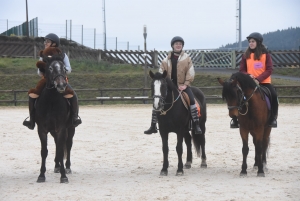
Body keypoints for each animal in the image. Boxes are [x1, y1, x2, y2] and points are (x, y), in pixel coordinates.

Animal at [34, 55, 75, 184]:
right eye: (50, 68)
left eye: (64, 68)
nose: (61, 85)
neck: (51, 101)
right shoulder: (42, 130)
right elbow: (44, 151)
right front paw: (41, 175)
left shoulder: (61, 129)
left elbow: (62, 150)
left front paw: (64, 176)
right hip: (53, 131)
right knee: (57, 144)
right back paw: (57, 166)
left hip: (70, 129)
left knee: (68, 145)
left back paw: (67, 167)